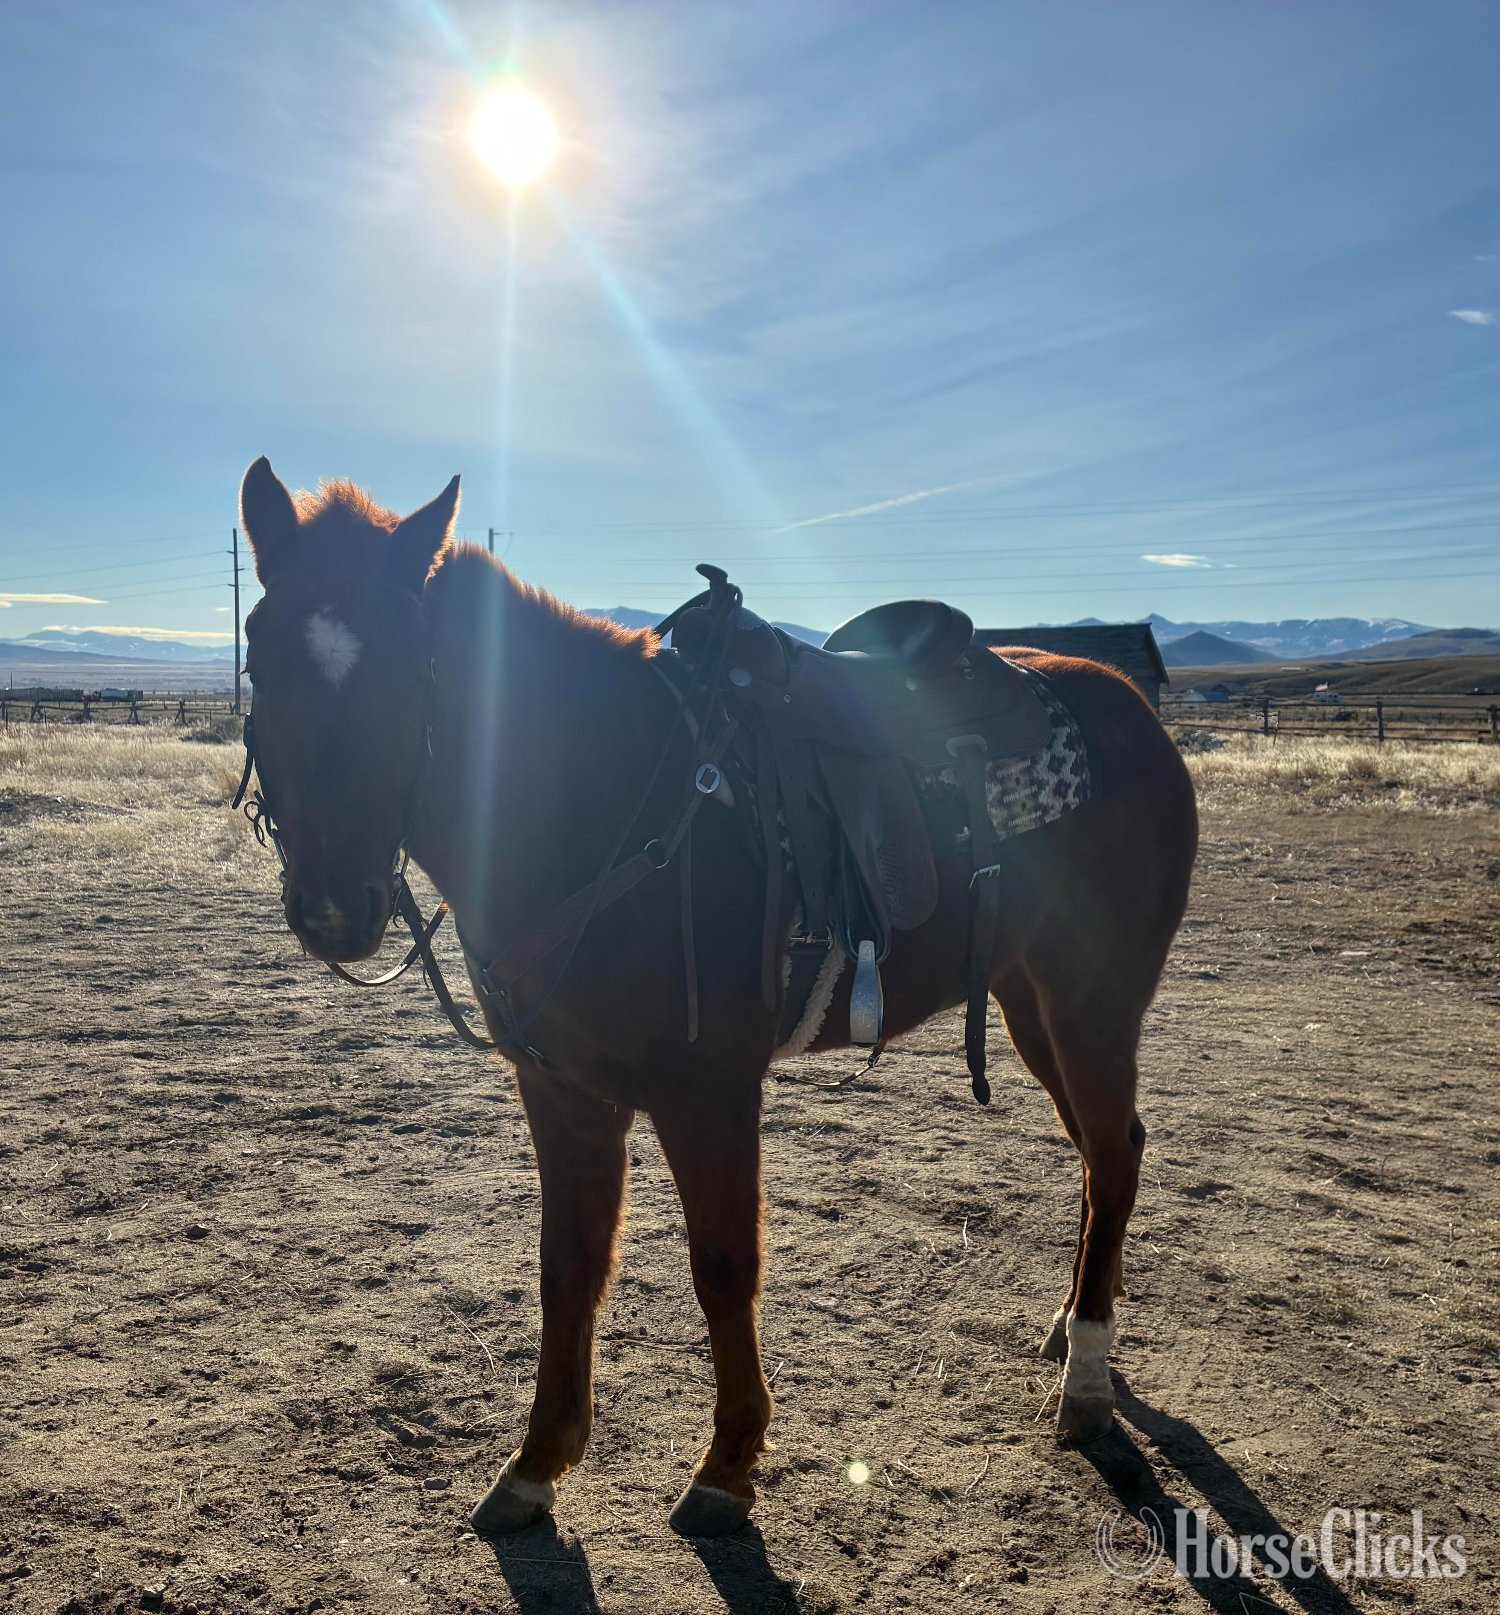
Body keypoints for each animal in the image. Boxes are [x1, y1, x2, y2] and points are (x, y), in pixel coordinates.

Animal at [235, 458, 1198, 1539]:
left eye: (416, 670)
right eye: (260, 658)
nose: (335, 905)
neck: (594, 798)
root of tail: (1133, 711)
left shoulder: (710, 1091)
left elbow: (724, 1267)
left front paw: (727, 1465)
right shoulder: (562, 1090)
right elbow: (568, 1265)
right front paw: (536, 1462)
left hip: (1091, 1002)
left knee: (1111, 1154)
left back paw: (1087, 1381)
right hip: (1031, 1001)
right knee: (1106, 1157)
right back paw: (1074, 1325)